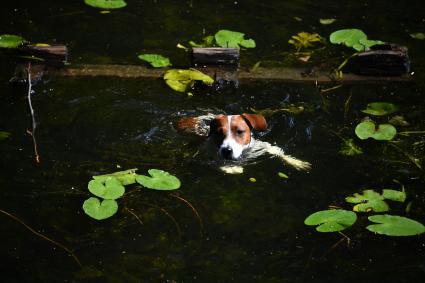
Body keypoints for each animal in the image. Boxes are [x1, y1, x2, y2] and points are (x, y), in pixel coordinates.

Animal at [174, 113, 310, 173]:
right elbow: (219, 163)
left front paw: (297, 162)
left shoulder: (261, 146)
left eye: (239, 131)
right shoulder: (210, 153)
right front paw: (233, 168)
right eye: (219, 133)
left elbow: (277, 150)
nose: (227, 151)